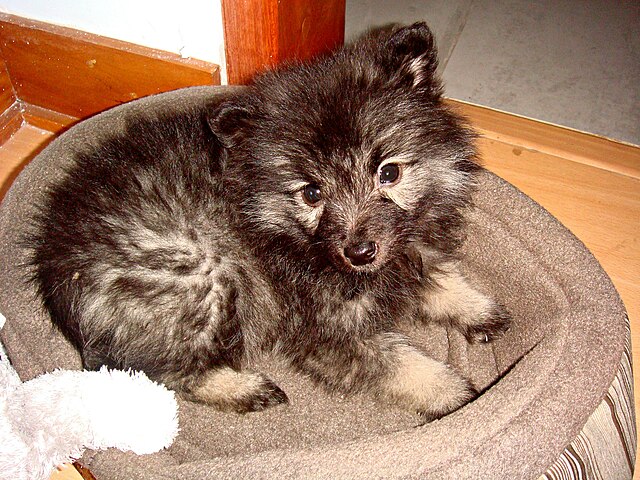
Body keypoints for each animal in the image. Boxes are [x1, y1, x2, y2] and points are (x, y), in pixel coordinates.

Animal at [27, 22, 510, 421]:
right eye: (311, 193)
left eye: (388, 173)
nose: (359, 252)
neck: (279, 230)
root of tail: (54, 264)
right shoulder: (330, 332)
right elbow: (405, 366)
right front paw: (459, 396)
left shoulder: (409, 251)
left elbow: (439, 278)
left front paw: (478, 310)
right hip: (200, 274)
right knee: (164, 370)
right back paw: (246, 389)